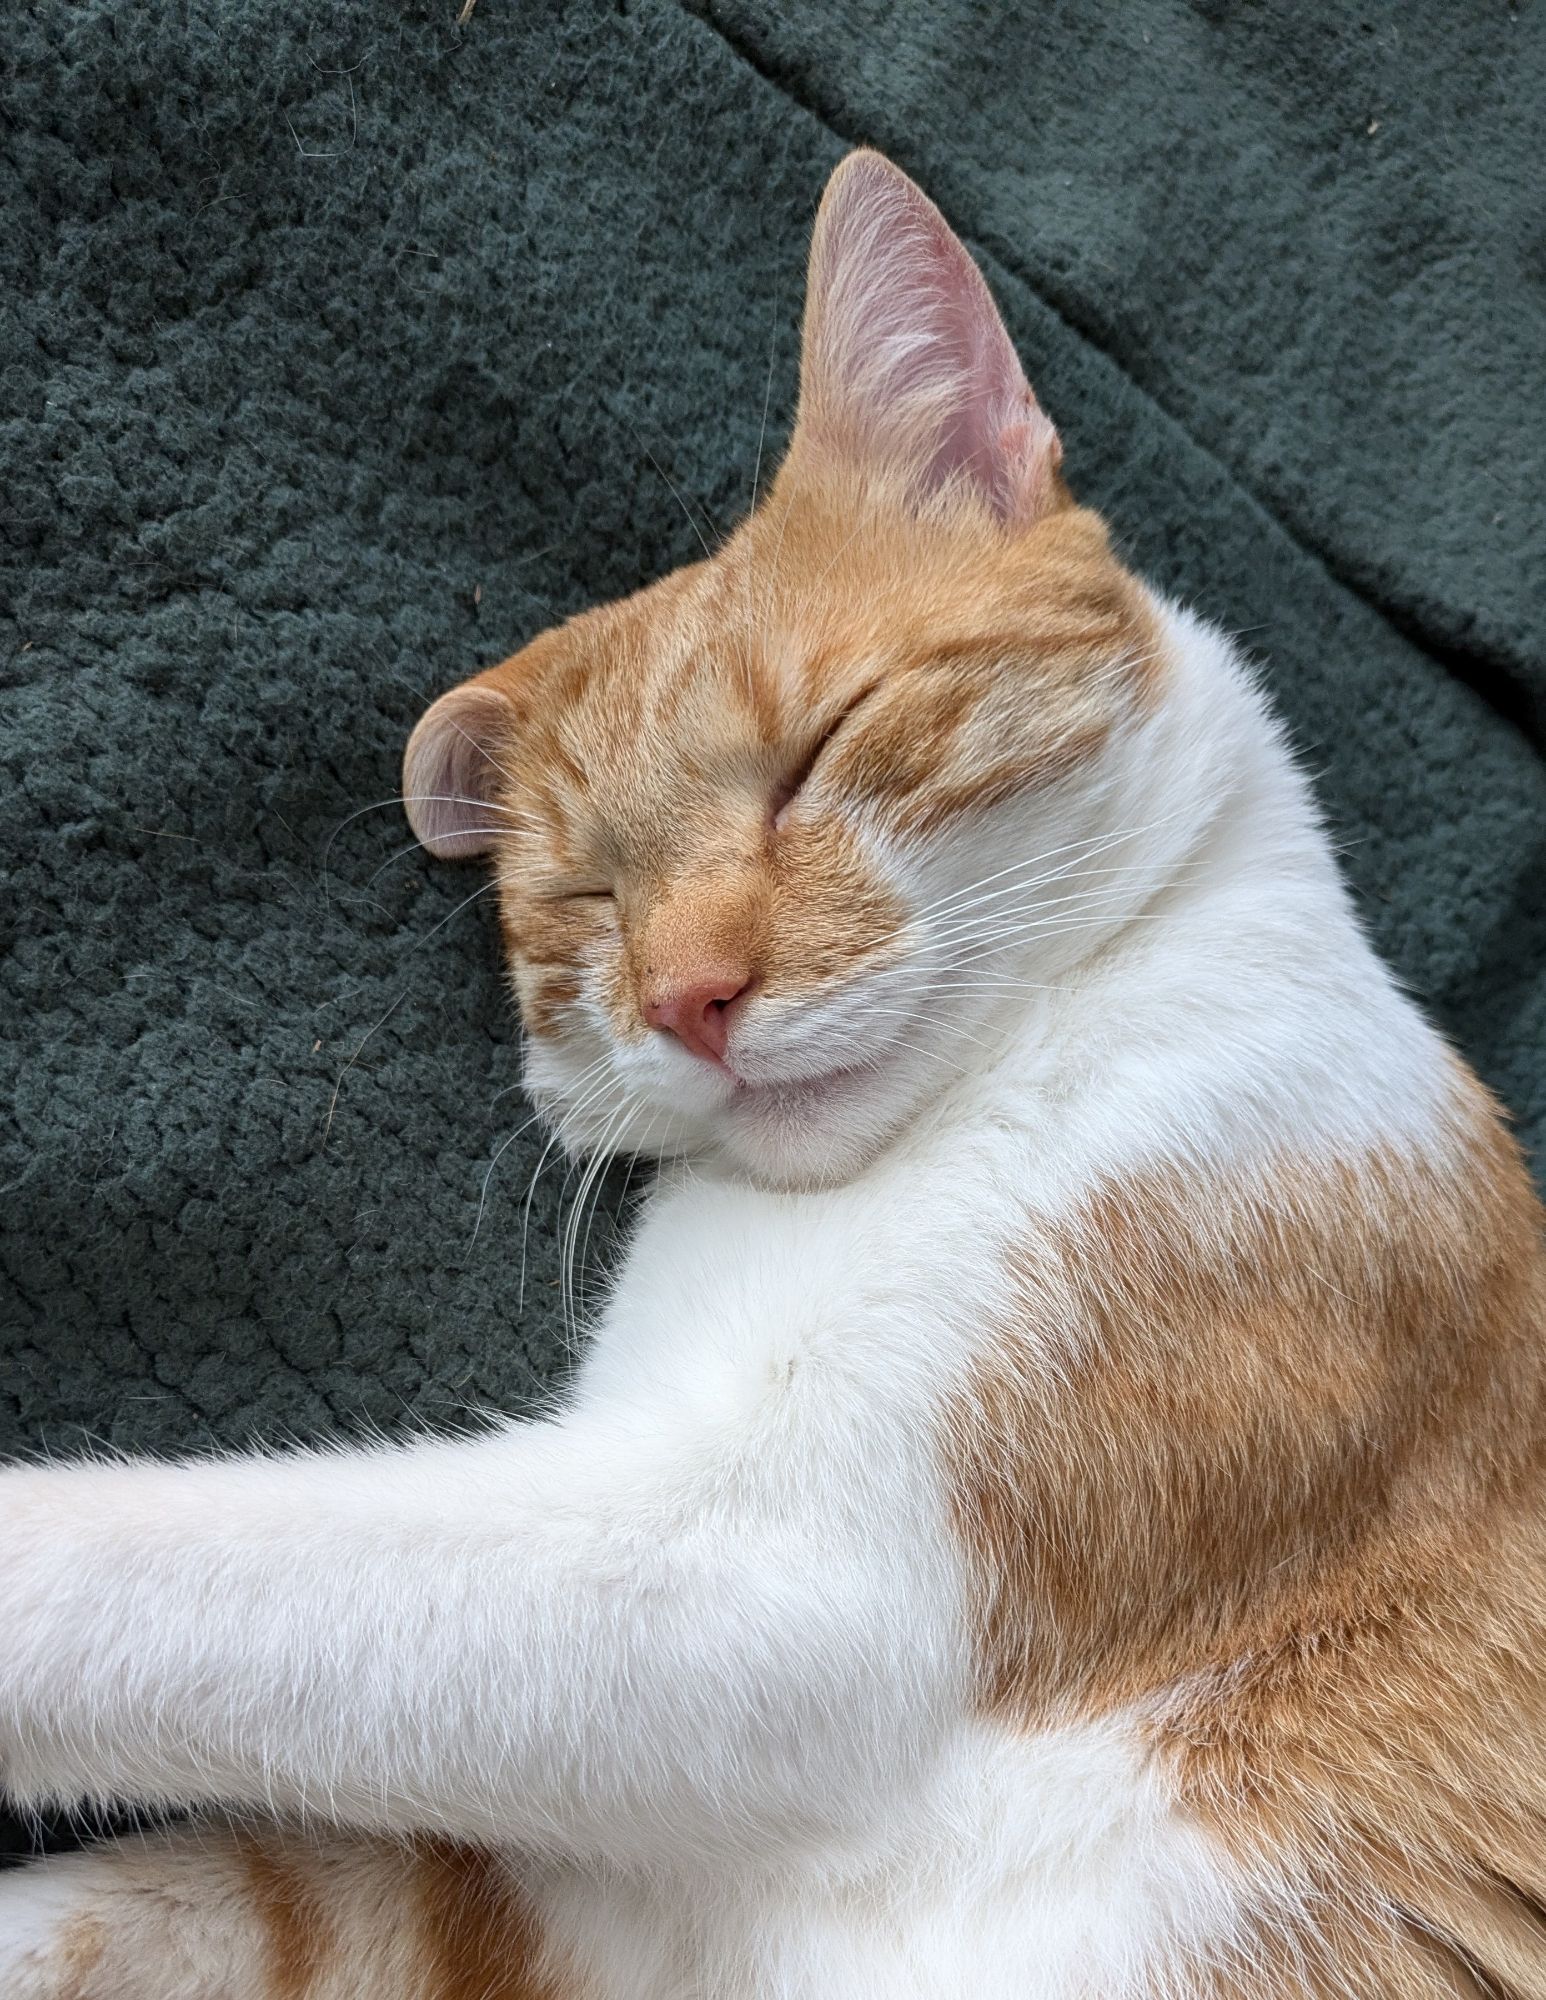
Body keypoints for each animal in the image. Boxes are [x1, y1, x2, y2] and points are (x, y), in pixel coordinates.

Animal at [3, 145, 1544, 2000]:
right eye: (586, 895)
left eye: (815, 751)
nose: (690, 995)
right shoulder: (569, 1910)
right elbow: (189, 1905)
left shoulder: (774, 1584)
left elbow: (164, 1562)